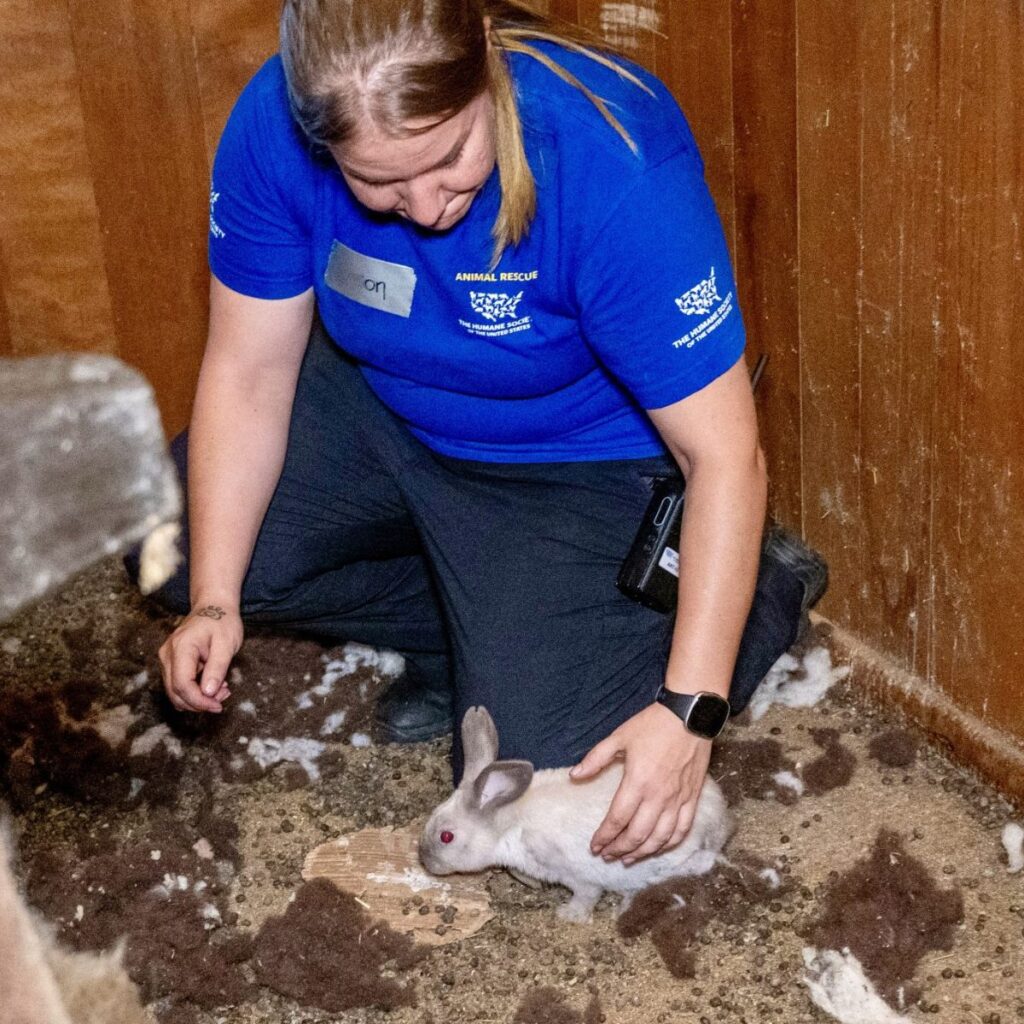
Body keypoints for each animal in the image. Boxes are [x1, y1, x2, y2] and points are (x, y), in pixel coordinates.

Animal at [419, 704, 733, 921]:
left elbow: (587, 894)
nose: (425, 862)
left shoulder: (575, 873)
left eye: (446, 836)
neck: (511, 823)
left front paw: (569, 915)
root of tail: (720, 819)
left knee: (701, 863)